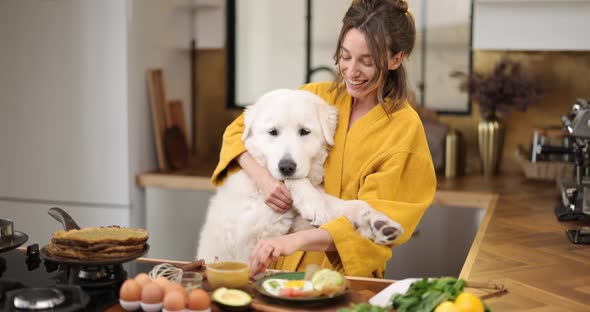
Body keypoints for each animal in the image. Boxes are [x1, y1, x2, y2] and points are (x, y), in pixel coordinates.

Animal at [197, 89, 404, 262]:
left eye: (304, 131)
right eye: (273, 132)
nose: (286, 167)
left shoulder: (291, 225)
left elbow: (350, 206)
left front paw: (379, 224)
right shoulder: (250, 228)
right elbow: (300, 184)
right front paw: (312, 202)